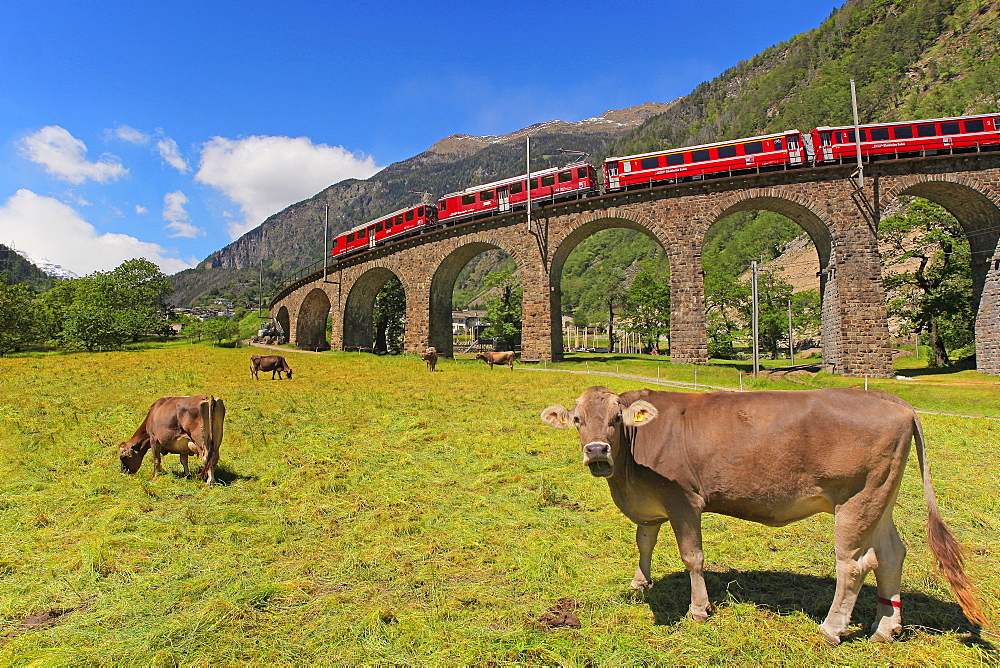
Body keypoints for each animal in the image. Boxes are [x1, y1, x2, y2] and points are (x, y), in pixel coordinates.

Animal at [540, 388, 984, 644]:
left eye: (616, 419)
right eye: (578, 420)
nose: (597, 451)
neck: (628, 472)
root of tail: (894, 402)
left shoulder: (684, 500)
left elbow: (692, 558)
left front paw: (698, 610)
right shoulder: (649, 507)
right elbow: (644, 540)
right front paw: (639, 583)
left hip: (857, 499)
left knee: (854, 565)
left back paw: (832, 629)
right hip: (880, 498)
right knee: (891, 555)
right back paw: (886, 629)